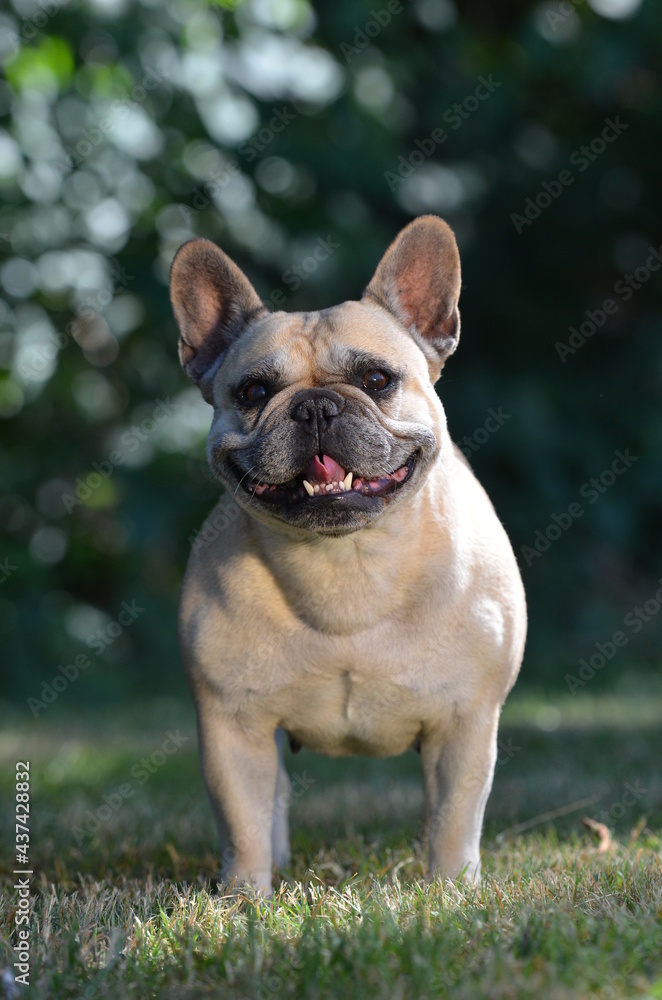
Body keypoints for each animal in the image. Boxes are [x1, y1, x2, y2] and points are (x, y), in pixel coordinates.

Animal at [171, 215, 528, 896]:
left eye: (376, 381)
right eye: (253, 390)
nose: (315, 406)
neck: (346, 564)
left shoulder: (466, 723)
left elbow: (454, 817)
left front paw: (451, 891)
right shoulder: (233, 726)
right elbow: (245, 821)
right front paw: (245, 898)